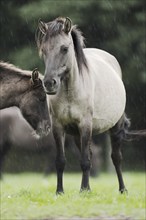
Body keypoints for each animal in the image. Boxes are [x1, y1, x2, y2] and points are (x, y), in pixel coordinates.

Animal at [35, 17, 144, 193]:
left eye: (64, 48)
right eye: (43, 50)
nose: (49, 83)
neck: (70, 91)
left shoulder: (85, 125)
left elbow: (85, 161)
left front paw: (84, 190)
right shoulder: (59, 127)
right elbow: (61, 161)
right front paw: (60, 191)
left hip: (115, 126)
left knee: (116, 158)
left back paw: (122, 189)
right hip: (76, 135)